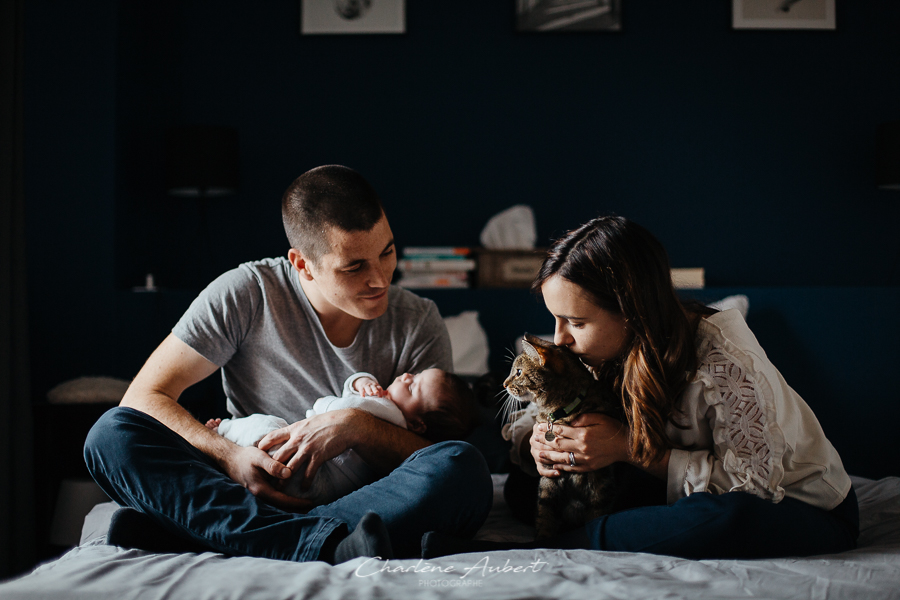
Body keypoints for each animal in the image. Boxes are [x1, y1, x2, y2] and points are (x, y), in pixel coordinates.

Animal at [502, 332, 624, 540]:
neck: (561, 413)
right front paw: (543, 540)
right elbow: (545, 515)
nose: (504, 384)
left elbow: (597, 518)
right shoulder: (549, 475)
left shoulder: (601, 484)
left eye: (518, 372)